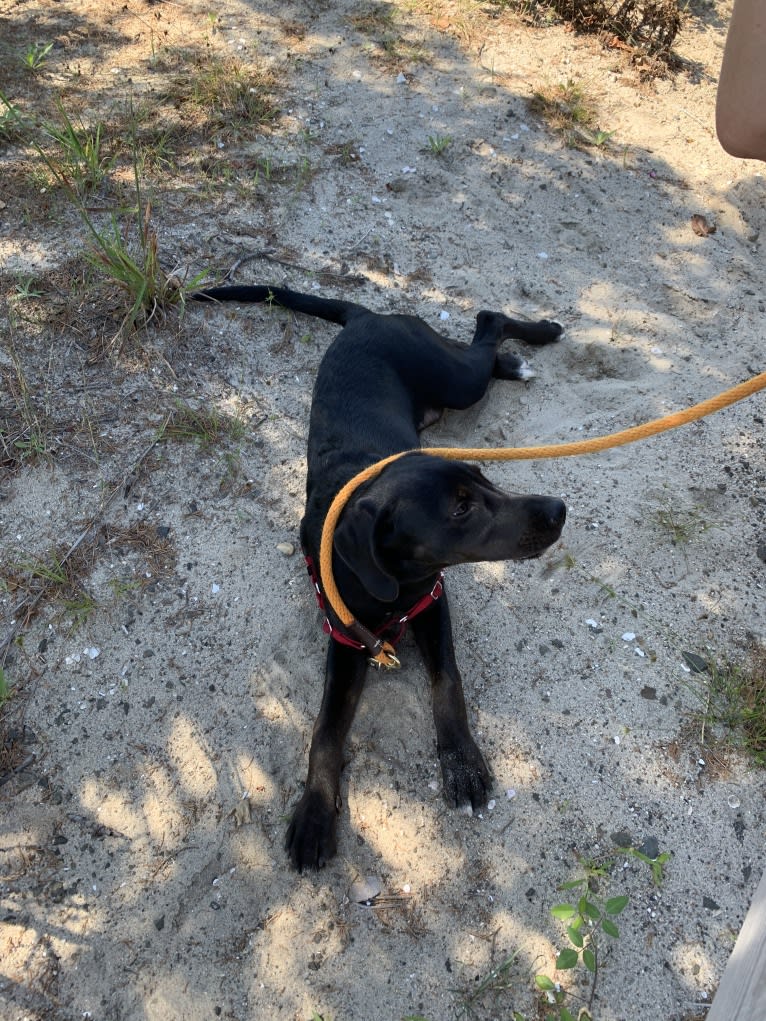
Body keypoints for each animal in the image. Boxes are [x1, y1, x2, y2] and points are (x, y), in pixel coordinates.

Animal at [193, 285, 563, 869]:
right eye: (460, 509)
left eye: (485, 478)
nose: (559, 510)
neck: (393, 587)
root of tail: (367, 318)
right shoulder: (346, 642)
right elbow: (325, 731)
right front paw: (314, 813)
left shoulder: (433, 604)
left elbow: (448, 683)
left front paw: (461, 764)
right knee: (483, 334)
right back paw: (517, 359)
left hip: (455, 381)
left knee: (488, 323)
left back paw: (537, 339)